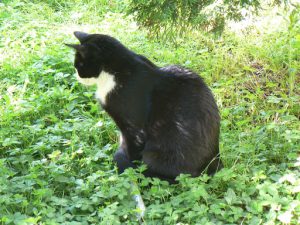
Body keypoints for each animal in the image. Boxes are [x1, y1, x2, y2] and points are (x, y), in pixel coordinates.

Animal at [68, 31, 223, 183]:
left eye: (79, 65)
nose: (77, 76)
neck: (115, 73)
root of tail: (215, 163)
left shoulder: (133, 128)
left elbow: (132, 150)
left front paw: (131, 169)